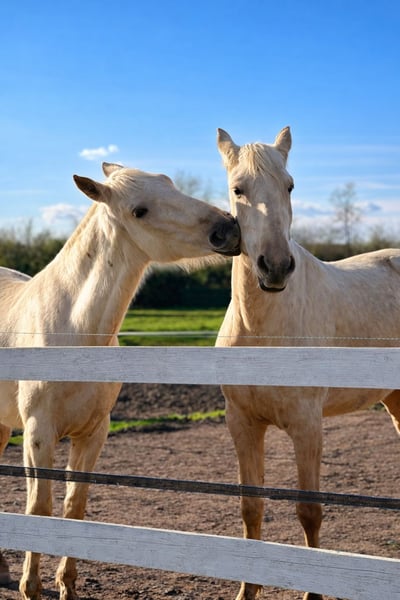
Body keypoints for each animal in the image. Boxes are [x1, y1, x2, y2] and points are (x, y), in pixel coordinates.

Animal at [0, 161, 241, 600]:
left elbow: (74, 506)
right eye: (139, 211)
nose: (228, 228)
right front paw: (31, 587)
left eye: (171, 185)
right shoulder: (38, 433)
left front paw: (67, 586)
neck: (72, 328)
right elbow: (39, 507)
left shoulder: (93, 433)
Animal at [216, 126, 400, 600]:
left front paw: (312, 591)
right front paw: (247, 590)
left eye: (290, 186)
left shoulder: (307, 427)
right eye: (238, 188)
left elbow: (309, 511)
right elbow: (251, 507)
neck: (263, 330)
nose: (277, 267)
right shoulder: (243, 424)